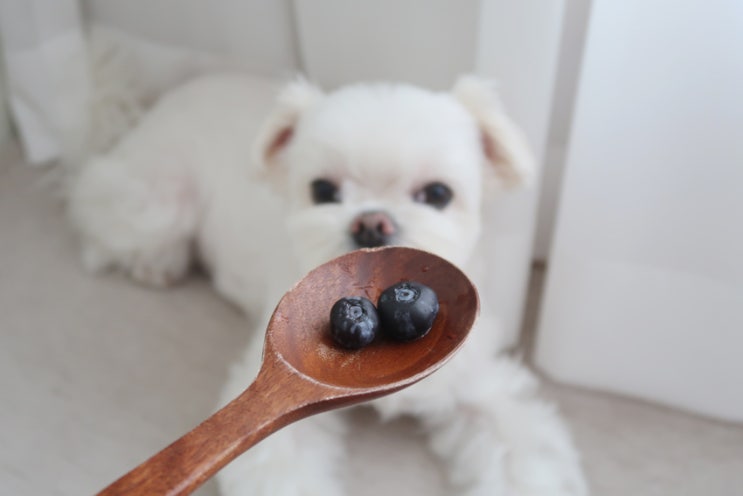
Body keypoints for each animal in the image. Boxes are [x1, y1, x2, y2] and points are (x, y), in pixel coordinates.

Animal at [68, 74, 587, 495]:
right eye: (323, 190)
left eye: (438, 194)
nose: (372, 222)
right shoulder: (273, 409)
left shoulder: (479, 386)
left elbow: (522, 452)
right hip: (156, 204)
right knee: (96, 211)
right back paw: (153, 262)